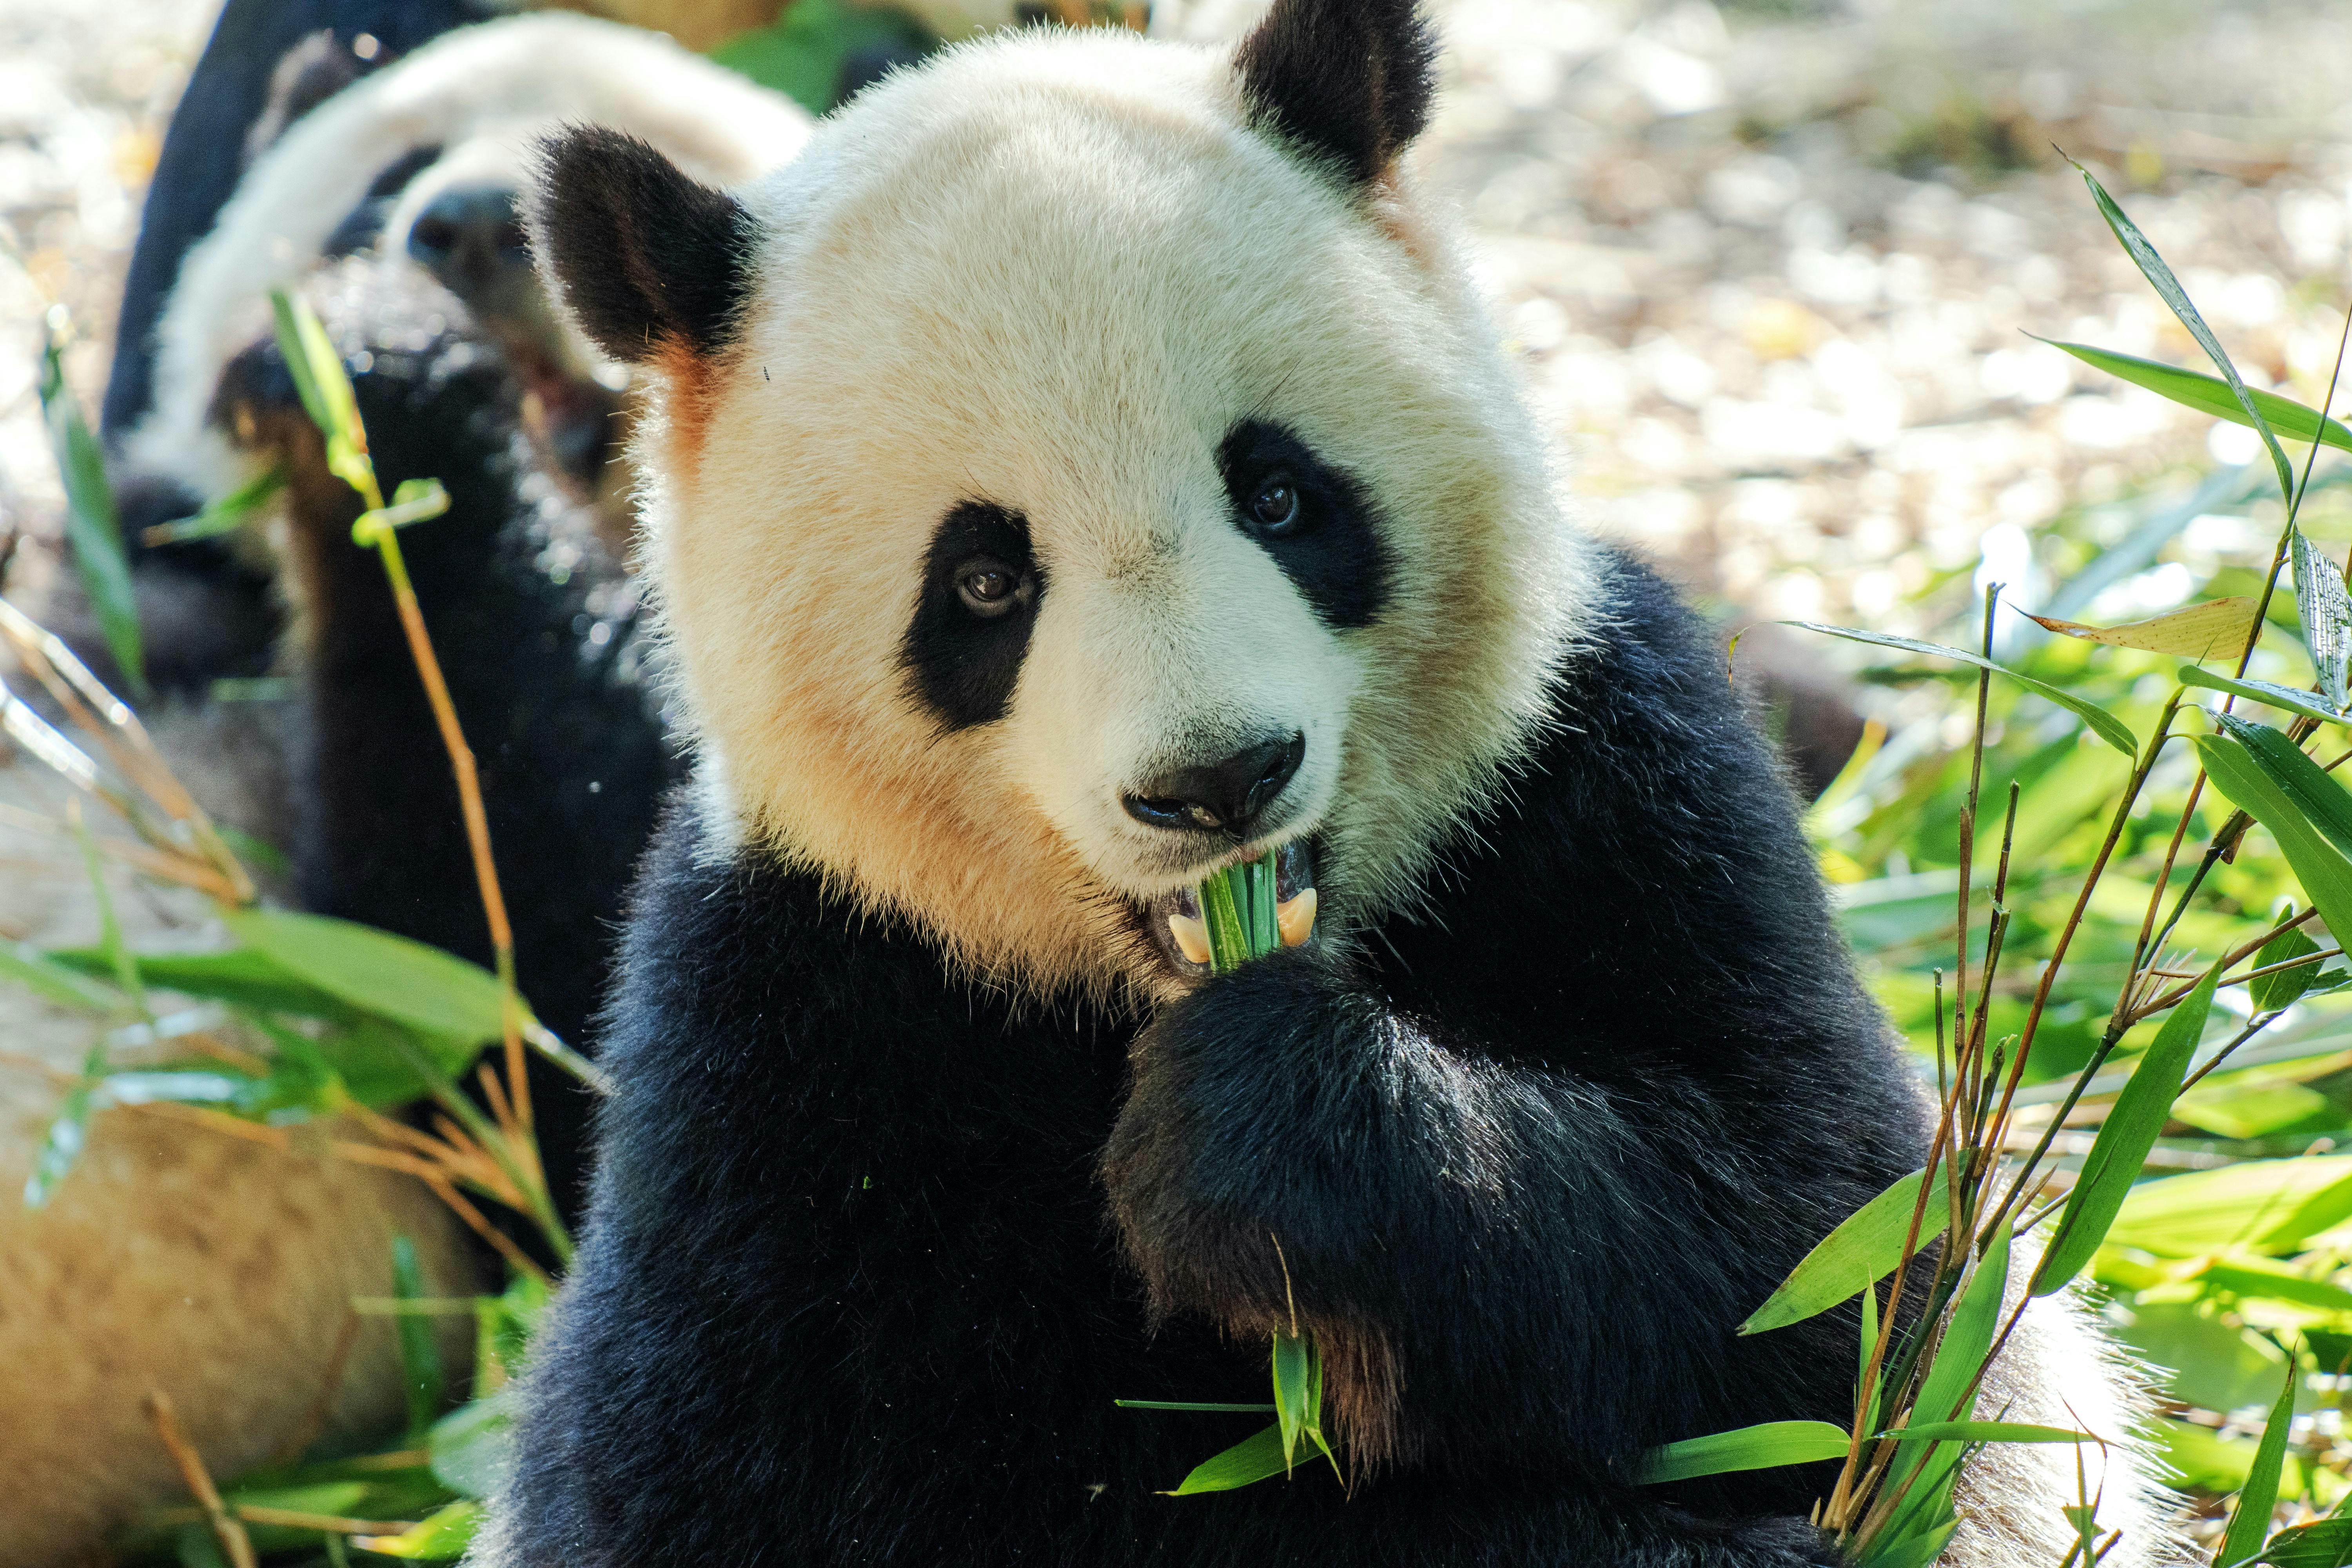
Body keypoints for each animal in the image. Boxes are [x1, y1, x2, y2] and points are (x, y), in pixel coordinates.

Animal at [476, 1, 2185, 1564]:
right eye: (982, 583)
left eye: (1284, 495)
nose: (1219, 781)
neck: (1140, 997)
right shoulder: (790, 1007)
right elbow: (697, 1468)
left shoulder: (1616, 772)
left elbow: (1845, 1266)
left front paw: (1263, 1141)